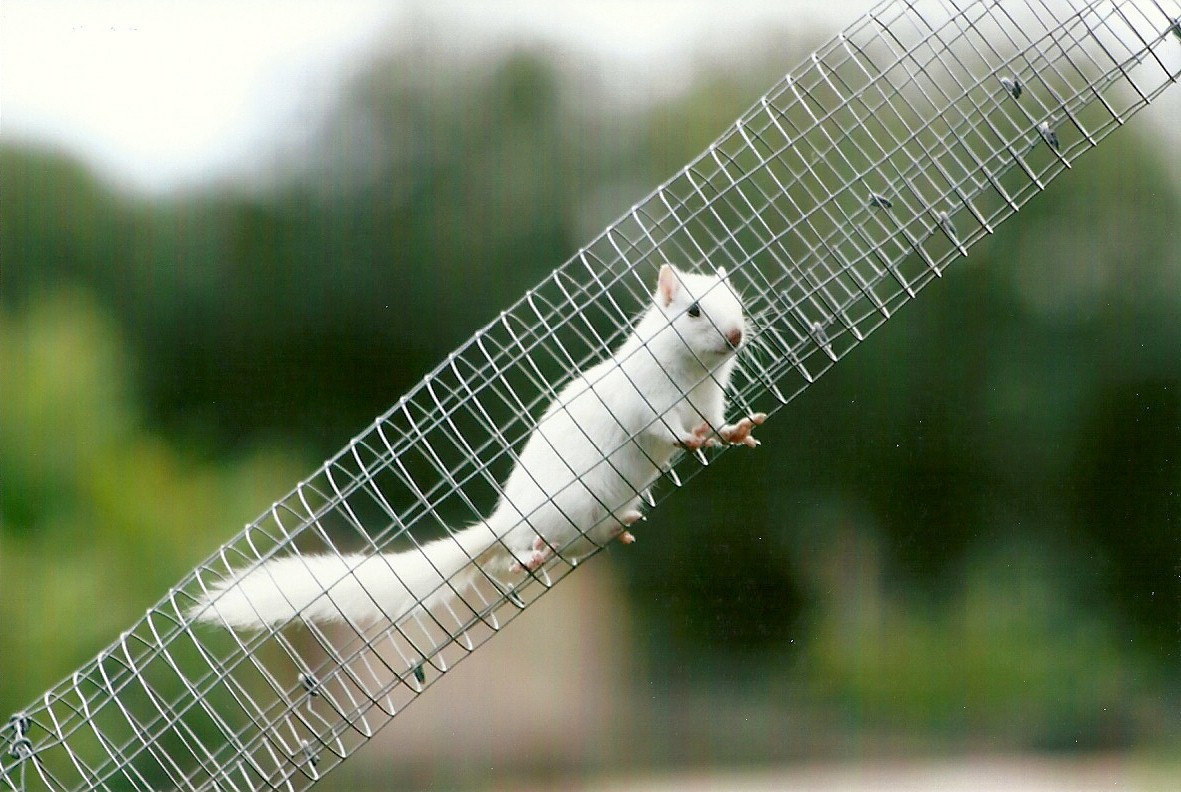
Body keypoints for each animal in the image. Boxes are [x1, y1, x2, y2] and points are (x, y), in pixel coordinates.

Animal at [191, 264, 765, 629]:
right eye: (693, 311)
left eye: (737, 298)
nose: (737, 335)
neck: (696, 375)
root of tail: (504, 522)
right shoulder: (650, 402)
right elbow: (666, 430)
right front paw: (688, 441)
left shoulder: (709, 403)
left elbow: (716, 426)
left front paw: (738, 432)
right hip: (543, 520)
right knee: (519, 553)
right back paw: (529, 558)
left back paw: (621, 524)